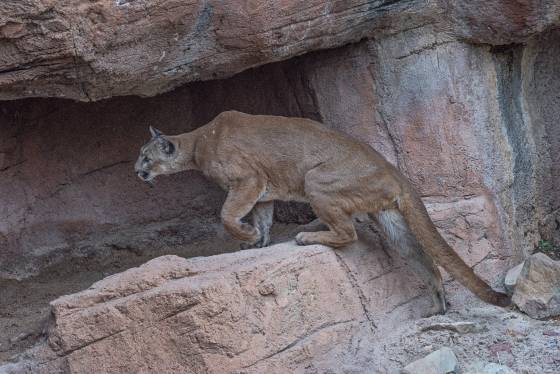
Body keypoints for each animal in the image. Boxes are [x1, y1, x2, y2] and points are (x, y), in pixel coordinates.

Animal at [136, 109, 512, 314]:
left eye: (145, 157)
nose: (136, 171)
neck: (198, 141)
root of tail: (393, 170)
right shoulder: (262, 190)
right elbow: (264, 217)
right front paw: (257, 241)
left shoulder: (248, 179)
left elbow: (228, 214)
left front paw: (246, 235)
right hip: (389, 218)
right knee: (422, 259)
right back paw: (436, 307)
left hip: (316, 179)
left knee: (348, 233)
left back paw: (307, 236)